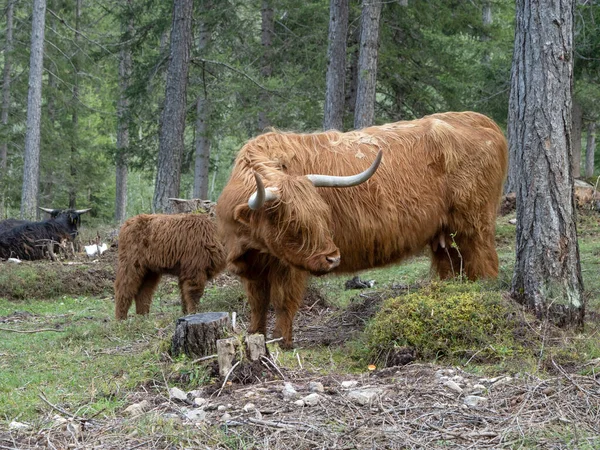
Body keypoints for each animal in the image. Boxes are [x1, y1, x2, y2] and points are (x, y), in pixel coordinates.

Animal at [216, 110, 506, 348]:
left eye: (323, 217)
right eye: (292, 224)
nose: (332, 258)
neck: (252, 245)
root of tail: (482, 120)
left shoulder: (289, 267)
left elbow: (283, 302)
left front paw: (281, 342)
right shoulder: (252, 267)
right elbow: (258, 303)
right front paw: (255, 336)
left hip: (474, 225)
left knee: (485, 264)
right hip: (445, 236)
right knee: (452, 269)